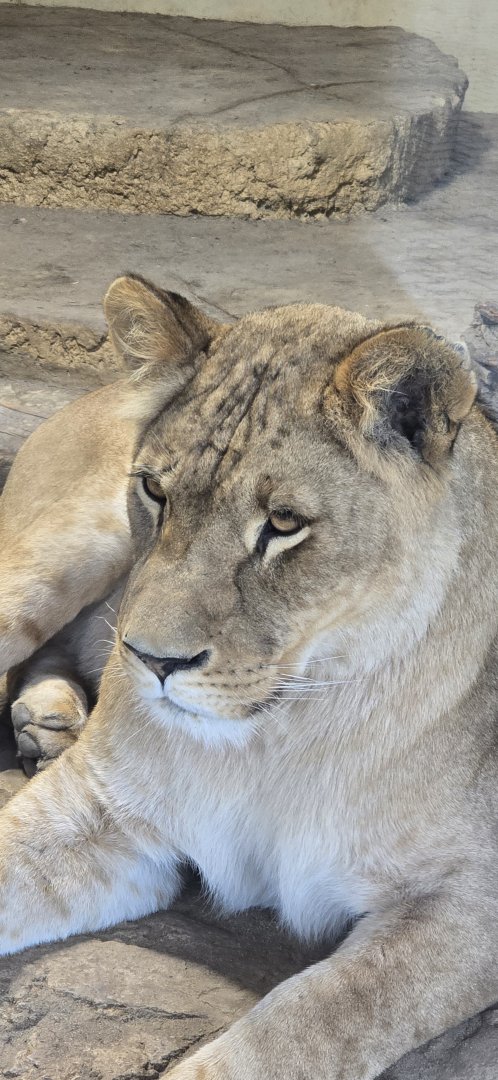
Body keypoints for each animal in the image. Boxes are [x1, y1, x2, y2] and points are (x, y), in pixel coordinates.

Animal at [0, 273, 498, 1080]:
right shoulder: (103, 808)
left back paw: (50, 720)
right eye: (154, 490)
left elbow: (312, 1022)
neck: (277, 734)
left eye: (284, 523)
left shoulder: (469, 903)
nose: (150, 660)